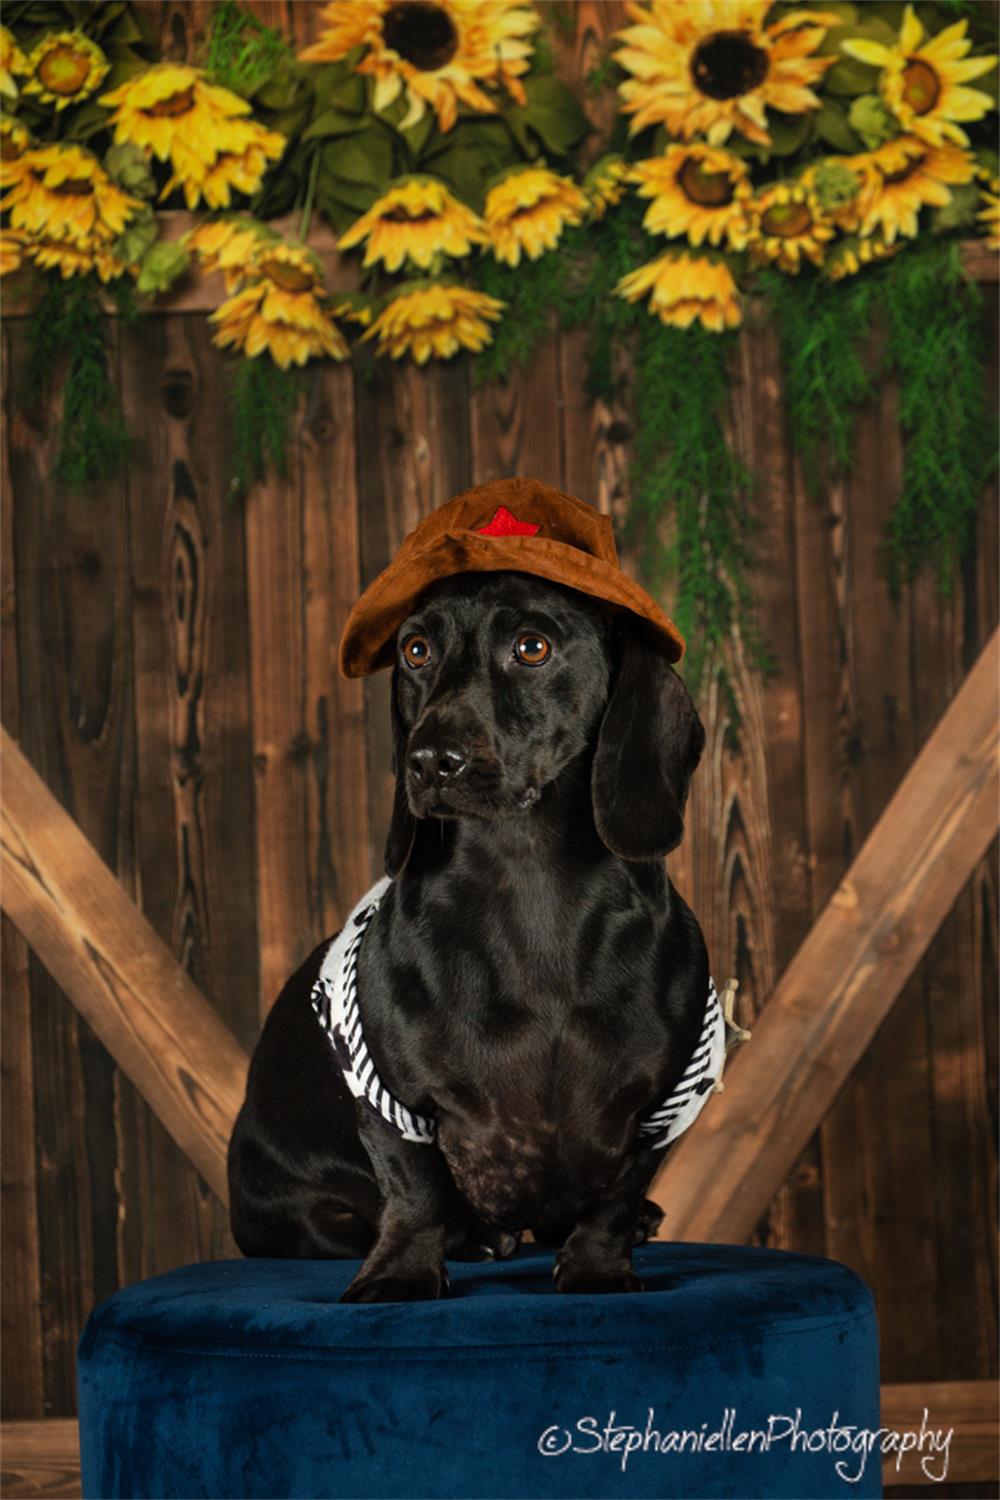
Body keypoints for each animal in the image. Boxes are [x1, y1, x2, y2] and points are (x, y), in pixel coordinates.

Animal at [229, 570, 707, 1302]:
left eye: (532, 647)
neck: (529, 887)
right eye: (417, 650)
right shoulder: (390, 1098)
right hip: (303, 1215)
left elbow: (618, 1196)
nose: (429, 761)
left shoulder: (664, 1106)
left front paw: (599, 1268)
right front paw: (400, 1275)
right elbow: (415, 1188)